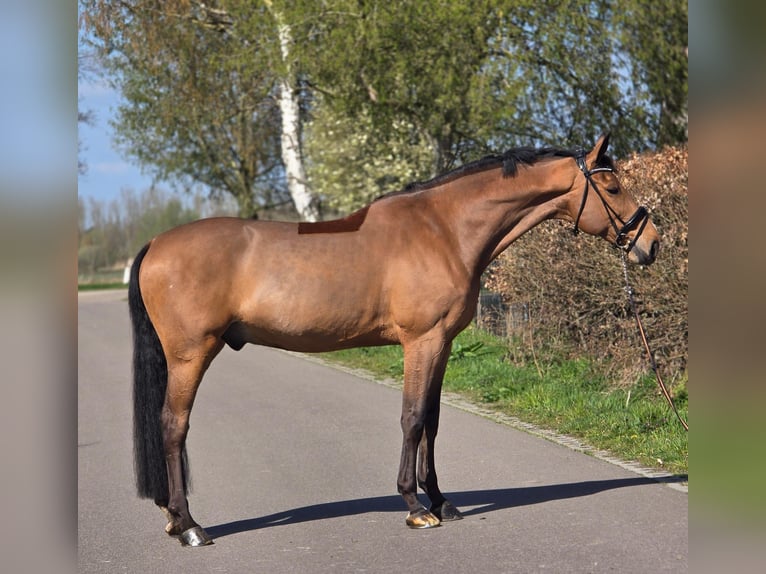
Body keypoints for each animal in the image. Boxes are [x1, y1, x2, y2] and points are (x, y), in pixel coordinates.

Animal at [128, 134, 660, 546]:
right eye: (612, 185)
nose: (651, 242)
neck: (443, 230)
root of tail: (156, 244)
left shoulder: (443, 345)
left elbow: (433, 422)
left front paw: (441, 501)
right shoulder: (421, 342)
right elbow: (412, 418)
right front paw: (415, 506)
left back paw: (176, 519)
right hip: (191, 355)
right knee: (173, 426)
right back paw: (190, 525)